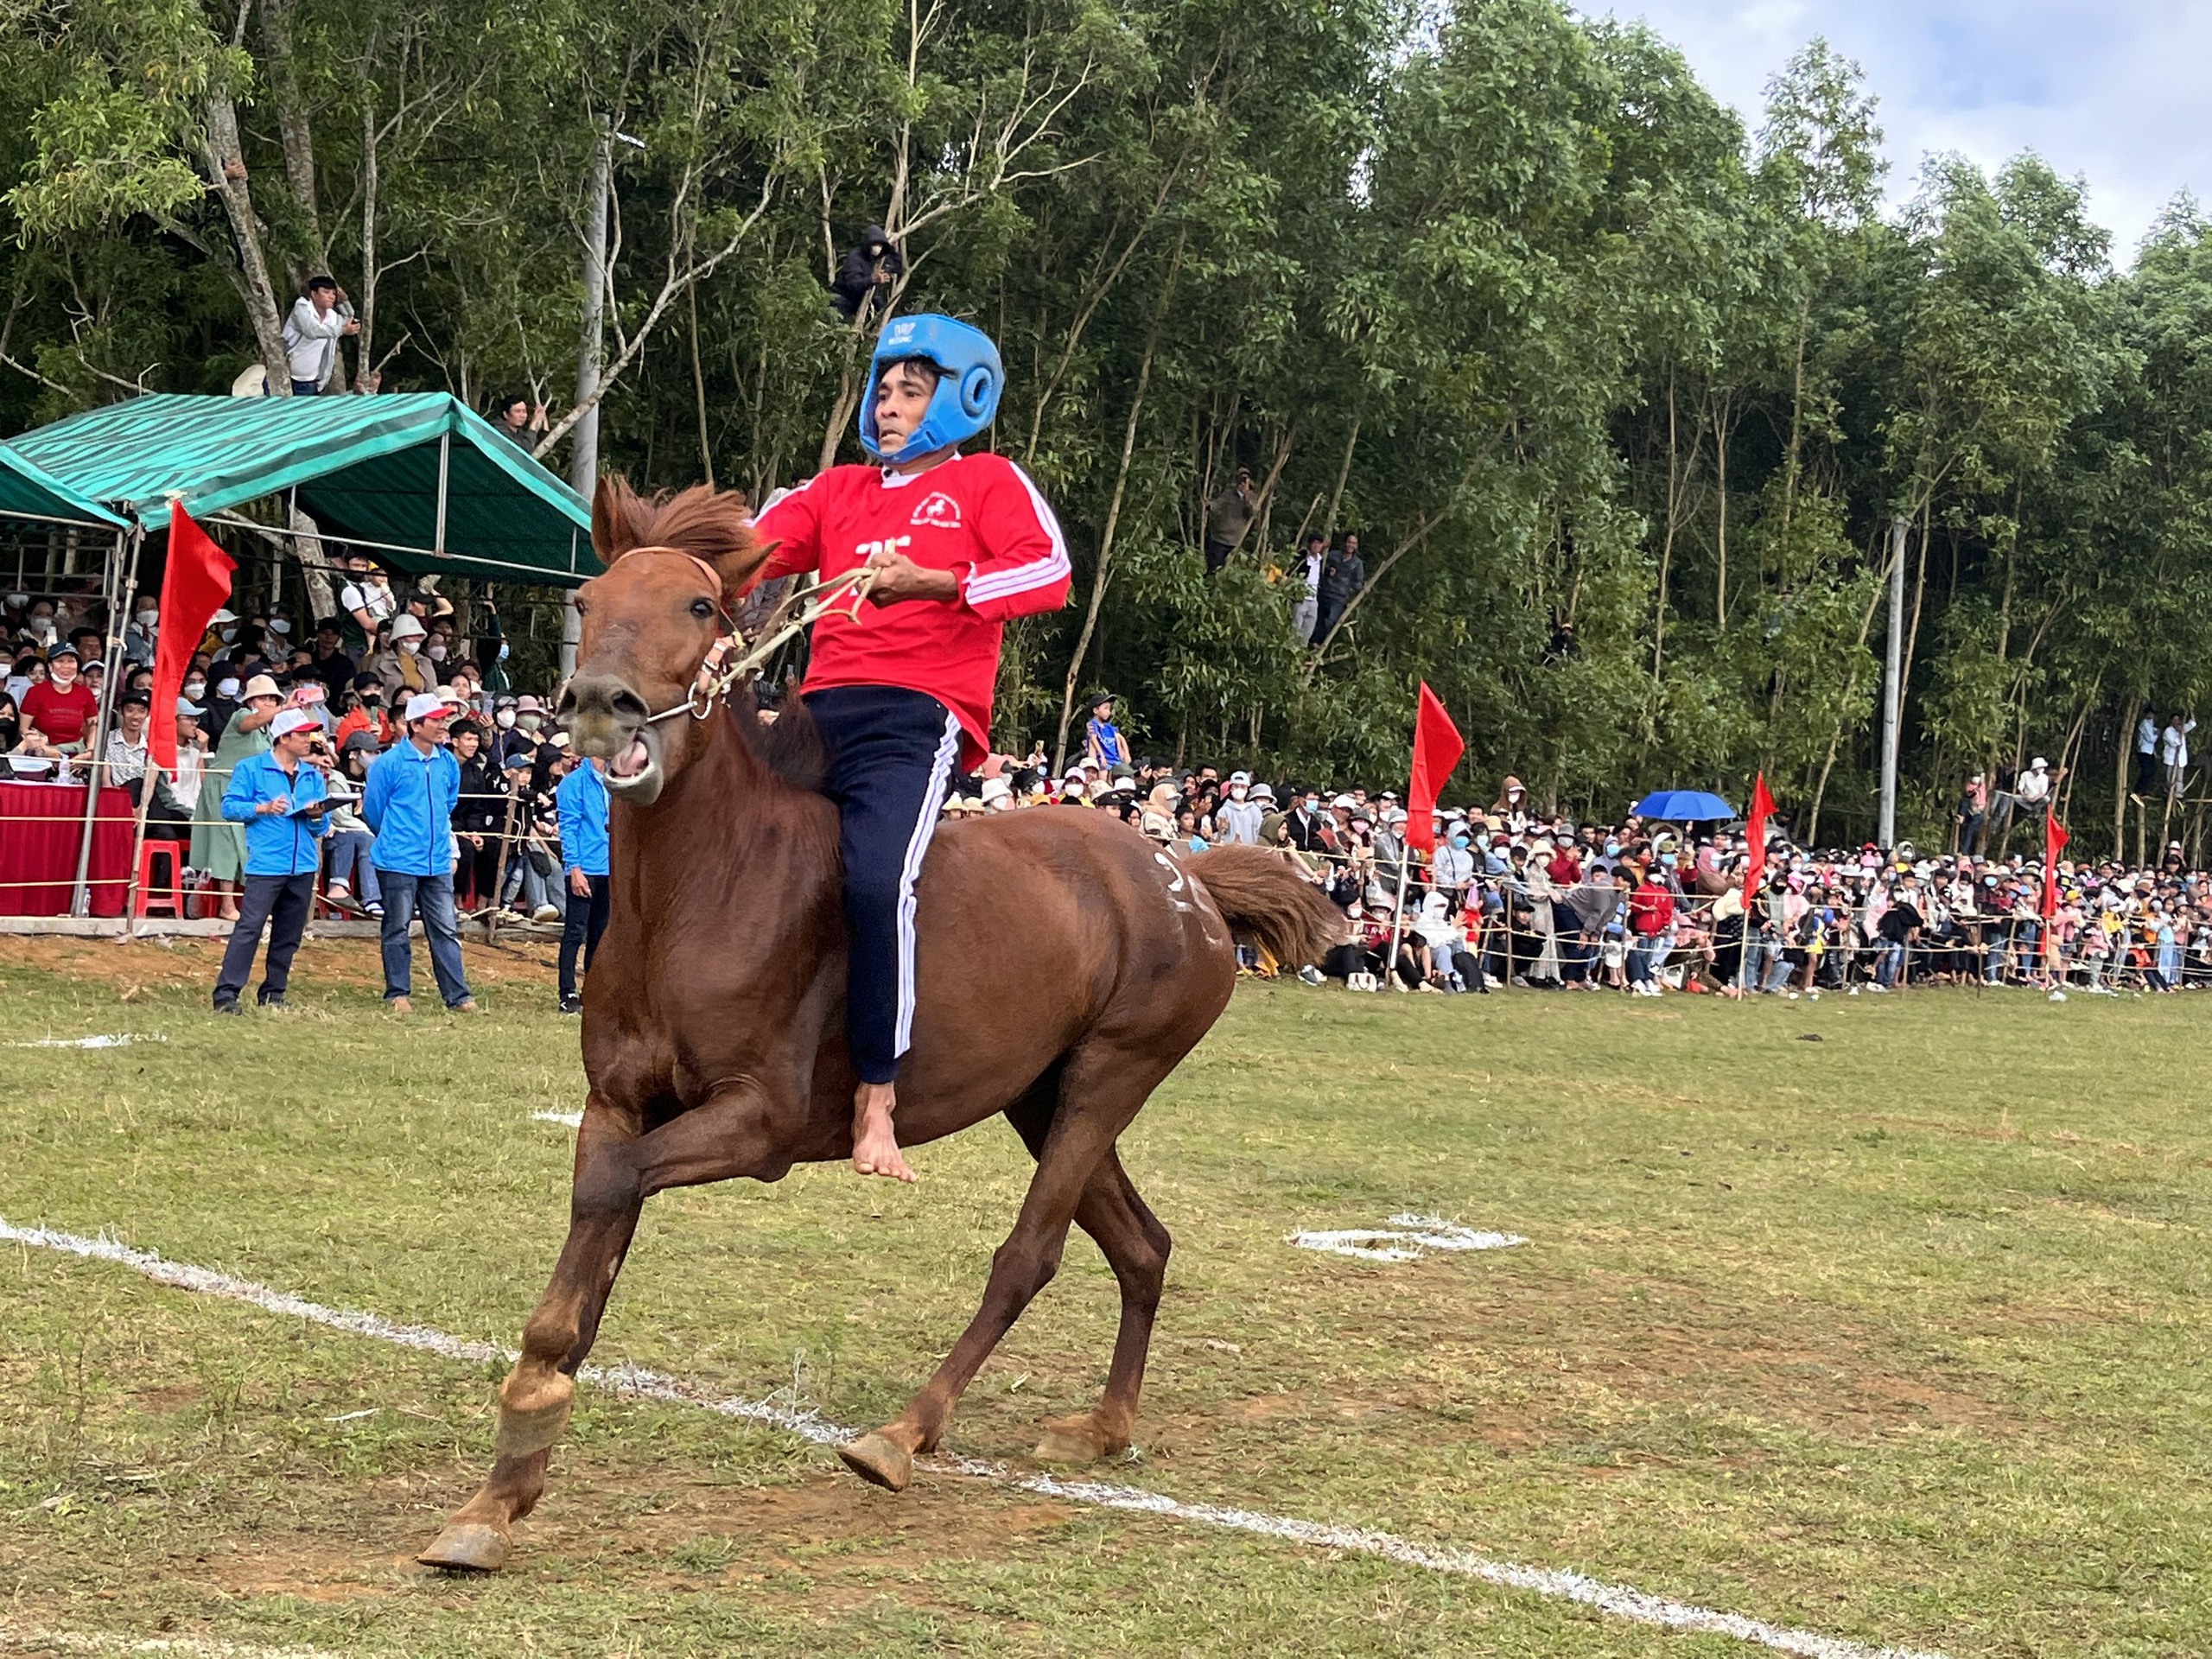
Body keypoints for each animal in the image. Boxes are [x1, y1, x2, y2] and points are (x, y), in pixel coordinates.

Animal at [420, 477, 1336, 1574]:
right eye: (588, 600)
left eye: (698, 605)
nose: (601, 704)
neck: (705, 884)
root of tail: (1186, 876)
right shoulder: (619, 1105)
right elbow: (589, 1253)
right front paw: (502, 1489)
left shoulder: (756, 1123)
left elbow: (608, 1199)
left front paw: (523, 1439)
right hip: (1044, 1094)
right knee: (1142, 1245)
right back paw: (1105, 1428)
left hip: (1111, 1076)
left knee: (1030, 1255)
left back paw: (906, 1430)